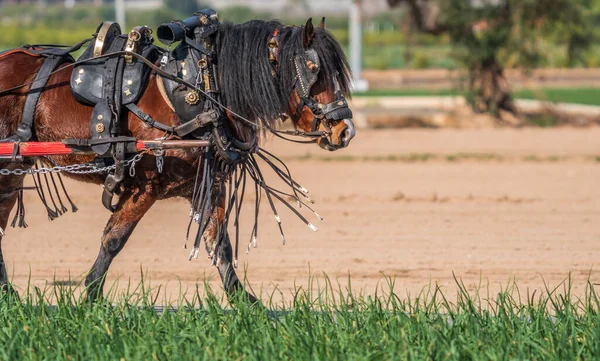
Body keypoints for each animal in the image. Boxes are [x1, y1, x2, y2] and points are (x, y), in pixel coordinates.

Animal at [0, 18, 354, 302]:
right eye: (313, 70)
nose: (344, 130)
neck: (200, 92)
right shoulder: (144, 186)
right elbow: (114, 239)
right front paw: (91, 298)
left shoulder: (209, 184)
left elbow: (219, 245)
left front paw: (248, 305)